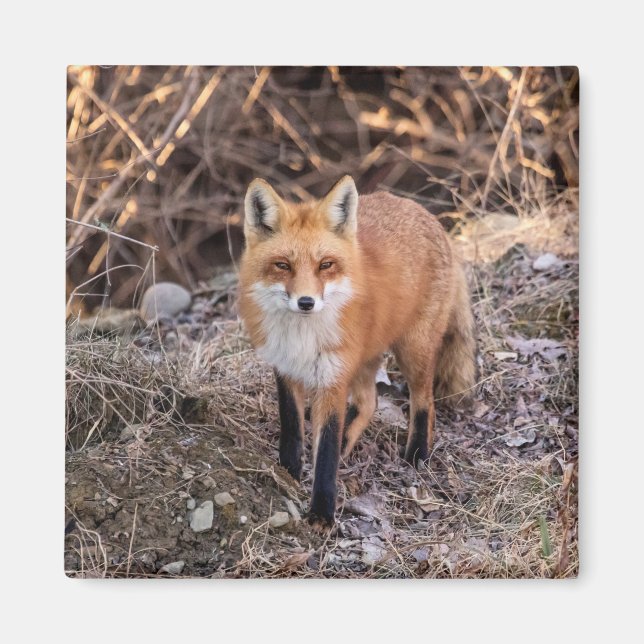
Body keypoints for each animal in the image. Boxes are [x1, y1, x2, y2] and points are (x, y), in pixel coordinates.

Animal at [238, 175, 477, 529]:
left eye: (325, 265)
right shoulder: (285, 368)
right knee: (369, 402)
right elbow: (292, 427)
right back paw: (349, 442)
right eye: (282, 265)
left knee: (425, 401)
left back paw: (417, 455)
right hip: (364, 357)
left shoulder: (332, 379)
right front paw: (289, 471)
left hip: (412, 350)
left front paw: (322, 514)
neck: (302, 337)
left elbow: (325, 452)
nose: (306, 302)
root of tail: (425, 214)